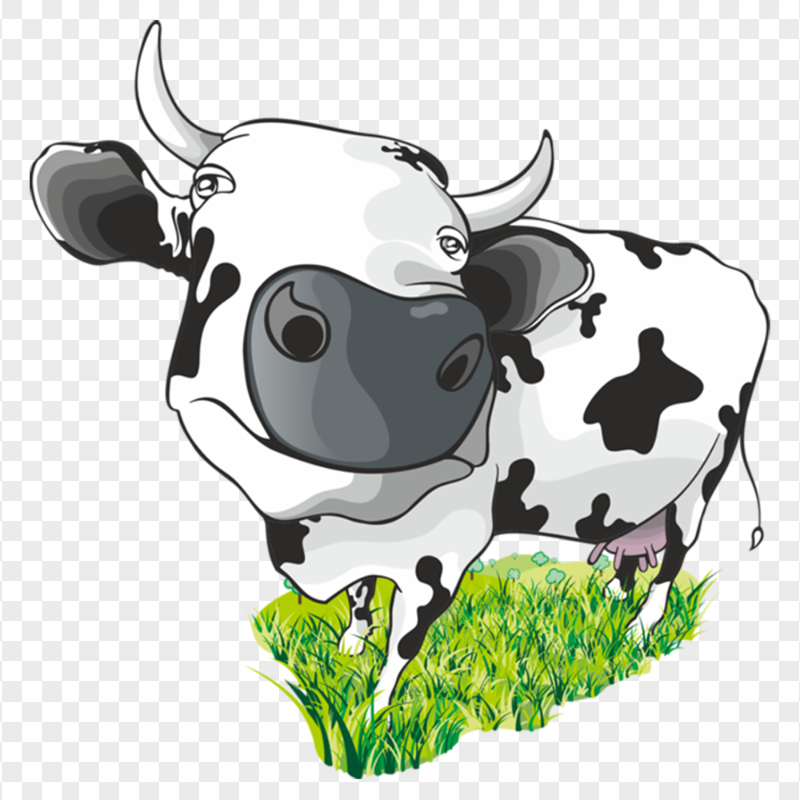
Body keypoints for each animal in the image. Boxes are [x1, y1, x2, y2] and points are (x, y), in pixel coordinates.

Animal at [31, 22, 769, 715]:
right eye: (211, 186)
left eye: (455, 246)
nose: (400, 336)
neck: (321, 525)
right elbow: (362, 600)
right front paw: (348, 643)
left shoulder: (447, 550)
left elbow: (406, 641)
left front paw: (374, 711)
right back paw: (614, 607)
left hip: (706, 472)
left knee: (676, 554)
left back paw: (642, 628)